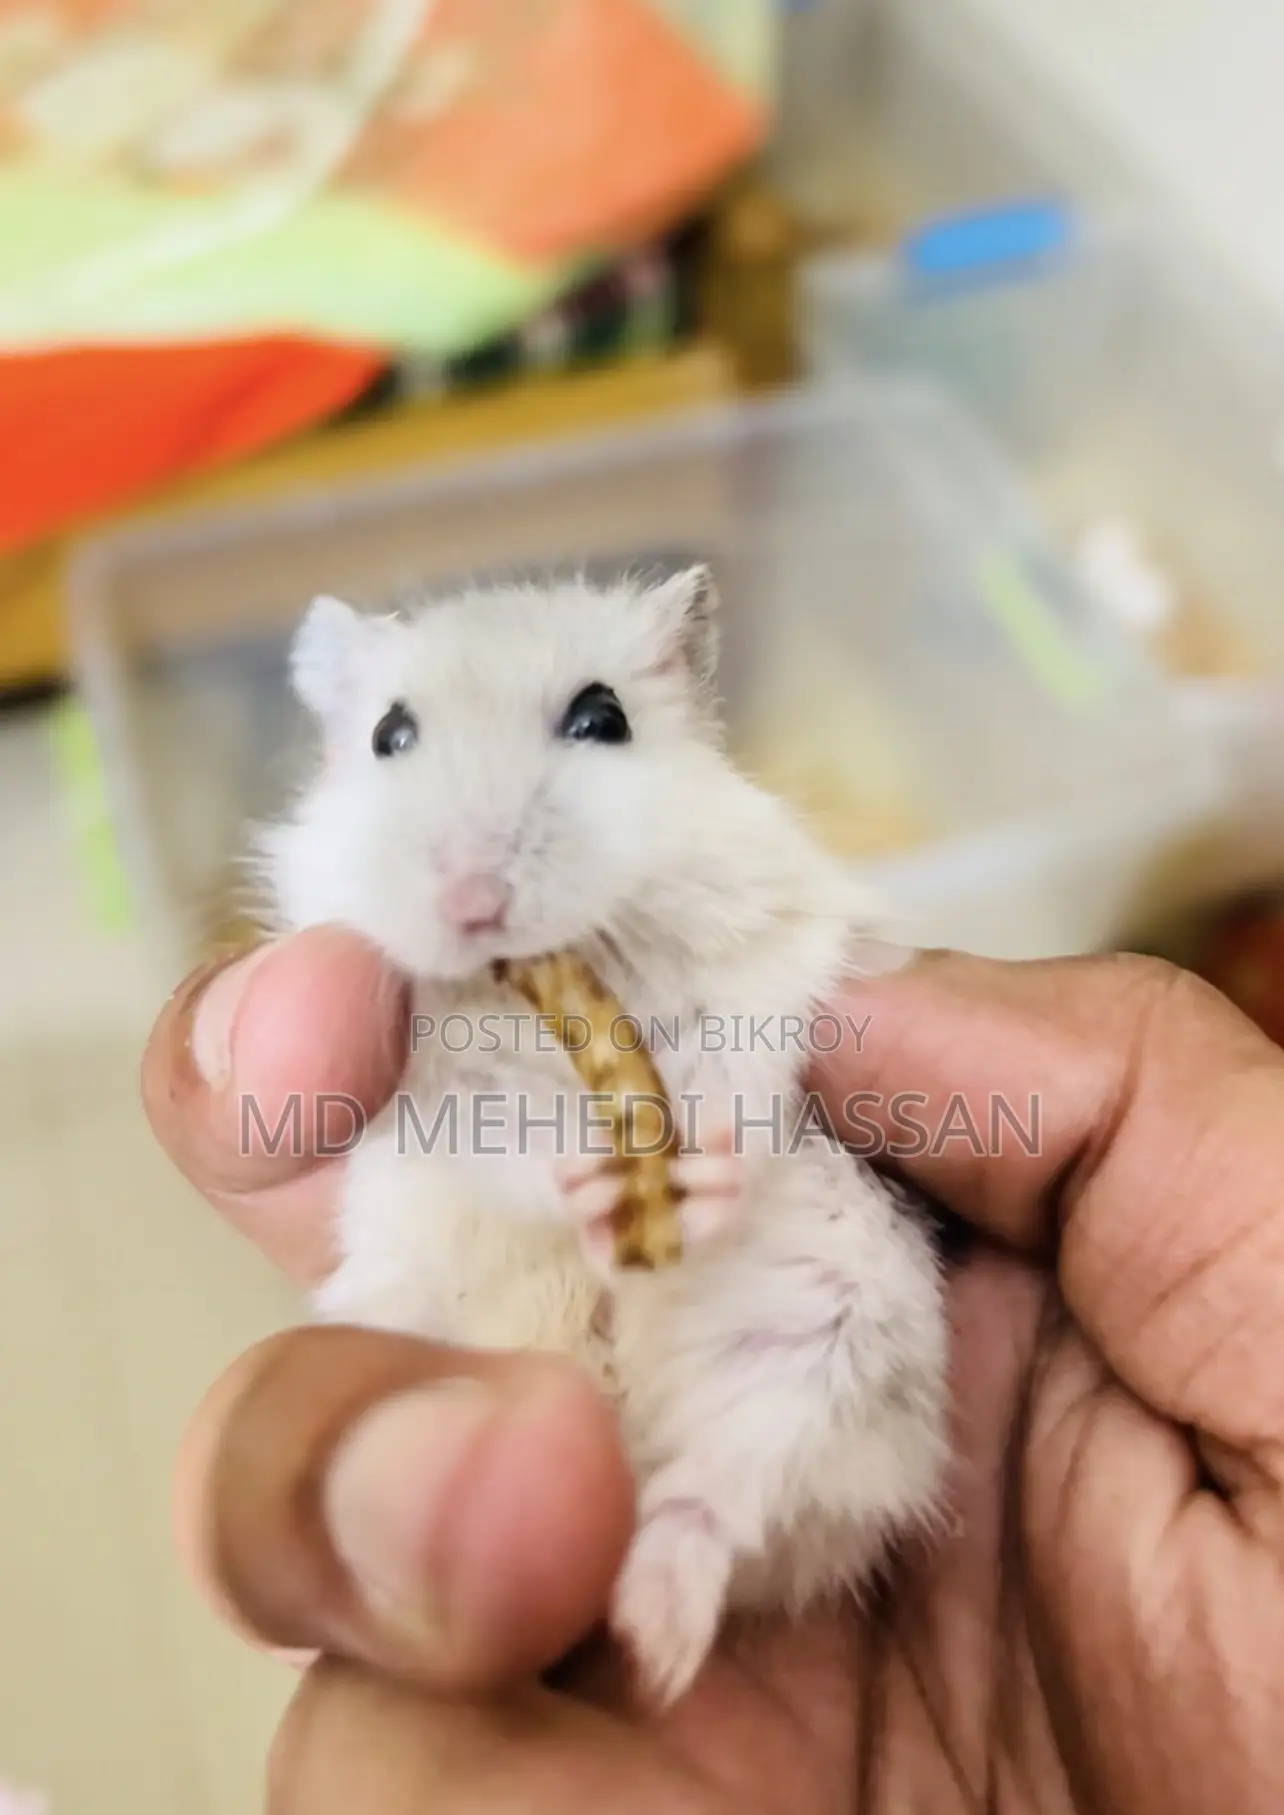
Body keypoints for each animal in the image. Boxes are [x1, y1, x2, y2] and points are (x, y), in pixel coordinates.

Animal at [253, 565, 951, 1706]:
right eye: (390, 735)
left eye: (601, 718)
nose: (474, 902)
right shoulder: (428, 1075)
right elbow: (498, 1126)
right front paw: (586, 1184)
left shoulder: (765, 970)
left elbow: (732, 1072)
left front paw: (699, 1185)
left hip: (835, 1331)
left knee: (723, 1489)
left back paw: (651, 1641)